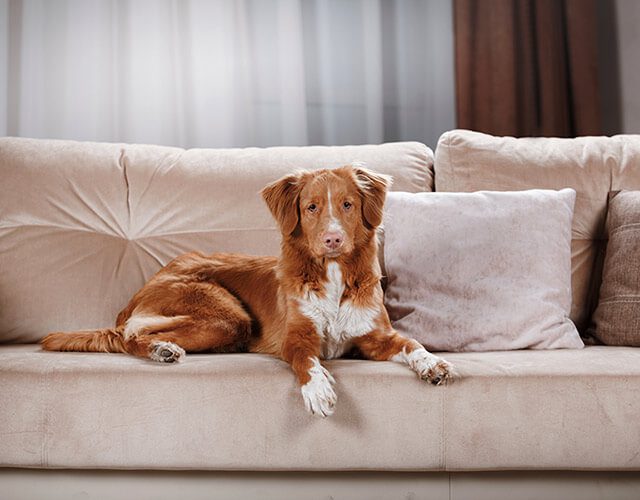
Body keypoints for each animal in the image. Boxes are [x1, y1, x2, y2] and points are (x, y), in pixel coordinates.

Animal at [43, 166, 450, 416]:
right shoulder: (296, 339)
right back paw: (161, 350)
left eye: (347, 205)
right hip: (225, 314)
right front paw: (318, 391)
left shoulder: (377, 337)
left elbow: (412, 345)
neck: (333, 277)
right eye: (311, 207)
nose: (333, 239)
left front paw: (433, 364)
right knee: (129, 333)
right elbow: (307, 362)